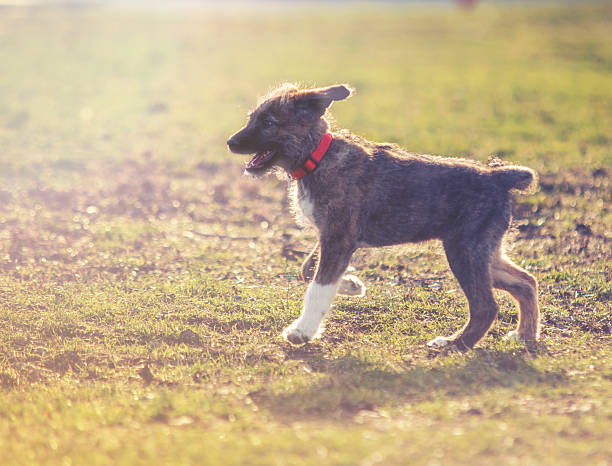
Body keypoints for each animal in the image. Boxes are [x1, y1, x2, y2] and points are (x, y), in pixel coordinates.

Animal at [227, 83, 536, 352]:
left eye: (268, 123)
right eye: (252, 119)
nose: (230, 142)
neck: (318, 157)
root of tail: (498, 176)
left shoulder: (338, 238)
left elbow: (317, 284)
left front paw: (302, 331)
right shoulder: (330, 236)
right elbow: (308, 270)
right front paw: (351, 285)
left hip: (464, 250)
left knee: (486, 306)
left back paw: (455, 344)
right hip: (486, 251)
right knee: (526, 282)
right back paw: (525, 335)